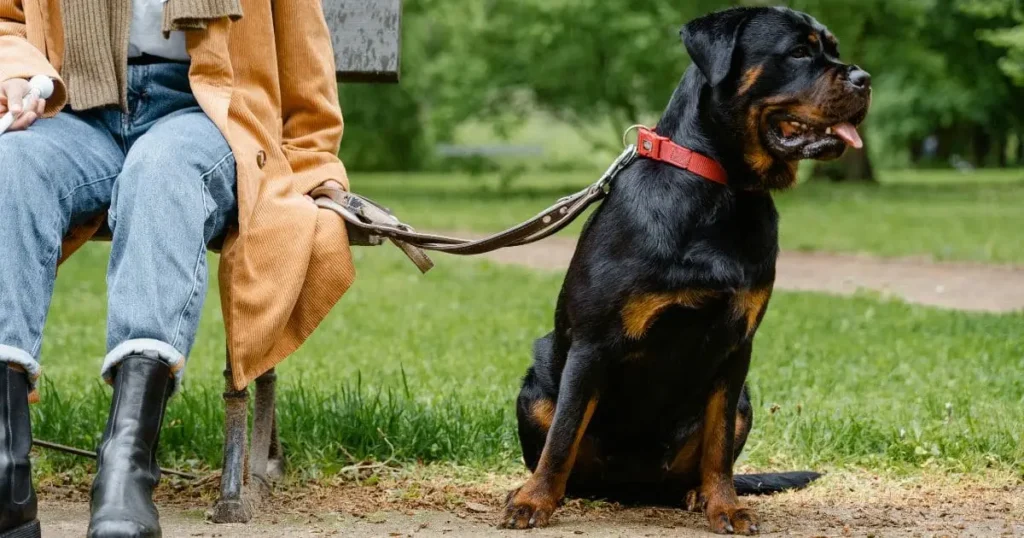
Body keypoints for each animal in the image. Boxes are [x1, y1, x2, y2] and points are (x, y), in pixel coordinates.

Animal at [499, 6, 868, 532]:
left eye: (833, 49)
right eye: (799, 51)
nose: (864, 78)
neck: (722, 189)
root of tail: (635, 490)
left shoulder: (736, 347)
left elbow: (718, 447)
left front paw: (725, 505)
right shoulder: (593, 343)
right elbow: (564, 434)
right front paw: (534, 501)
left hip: (745, 400)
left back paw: (696, 495)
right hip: (536, 388)